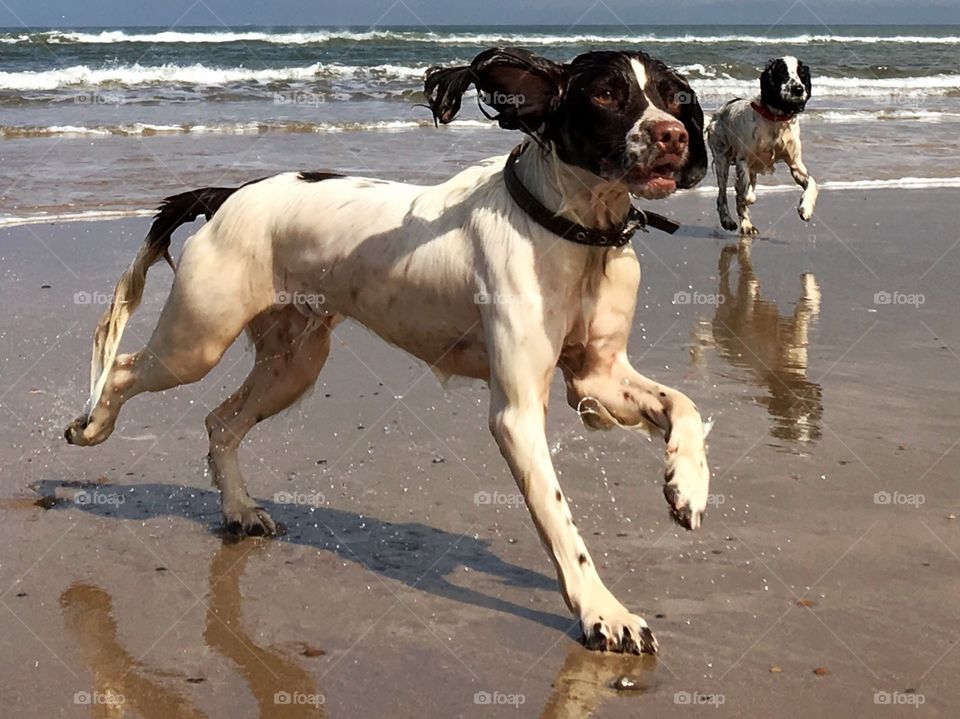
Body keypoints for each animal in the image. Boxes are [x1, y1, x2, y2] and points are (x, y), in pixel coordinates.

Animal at [65, 49, 712, 660]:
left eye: (673, 97)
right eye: (606, 94)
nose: (673, 137)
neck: (575, 233)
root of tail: (227, 195)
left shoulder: (597, 378)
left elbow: (684, 404)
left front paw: (687, 485)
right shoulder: (518, 412)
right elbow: (562, 522)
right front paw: (605, 612)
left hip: (294, 364)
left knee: (220, 422)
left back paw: (240, 509)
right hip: (197, 341)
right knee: (124, 371)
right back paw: (92, 426)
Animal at [704, 57, 816, 236]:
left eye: (802, 73)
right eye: (782, 72)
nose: (798, 89)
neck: (776, 119)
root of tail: (717, 113)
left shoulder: (795, 164)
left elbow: (812, 182)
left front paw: (805, 208)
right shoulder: (743, 161)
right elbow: (746, 194)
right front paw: (745, 198)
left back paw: (746, 225)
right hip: (722, 159)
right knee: (722, 195)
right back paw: (727, 220)